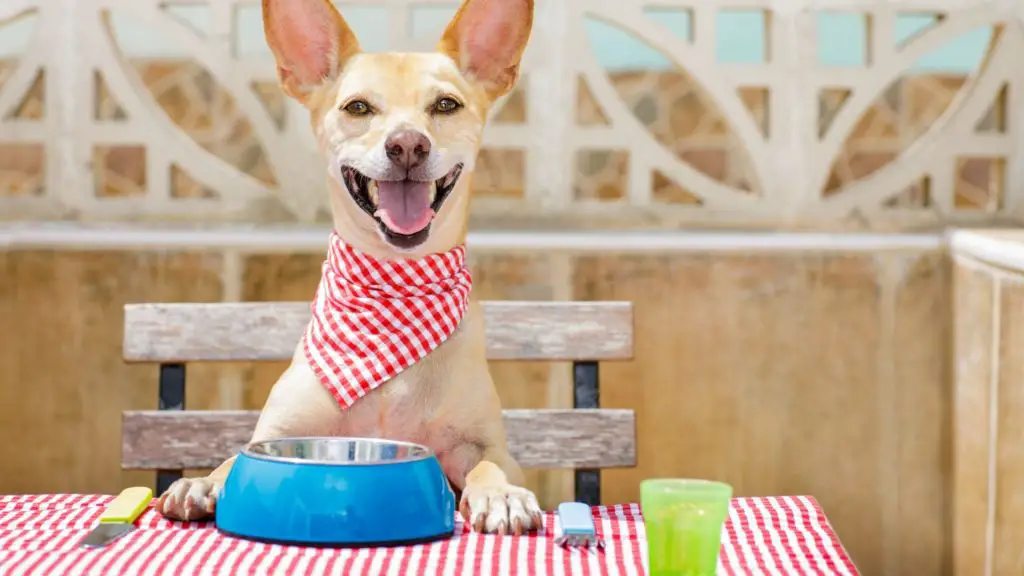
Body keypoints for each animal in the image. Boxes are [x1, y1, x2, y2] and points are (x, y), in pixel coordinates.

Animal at [153, 0, 544, 532]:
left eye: (446, 105)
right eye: (358, 107)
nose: (407, 145)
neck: (392, 288)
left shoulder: (486, 444)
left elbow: (490, 464)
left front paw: (501, 494)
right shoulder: (278, 430)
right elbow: (233, 459)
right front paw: (203, 482)